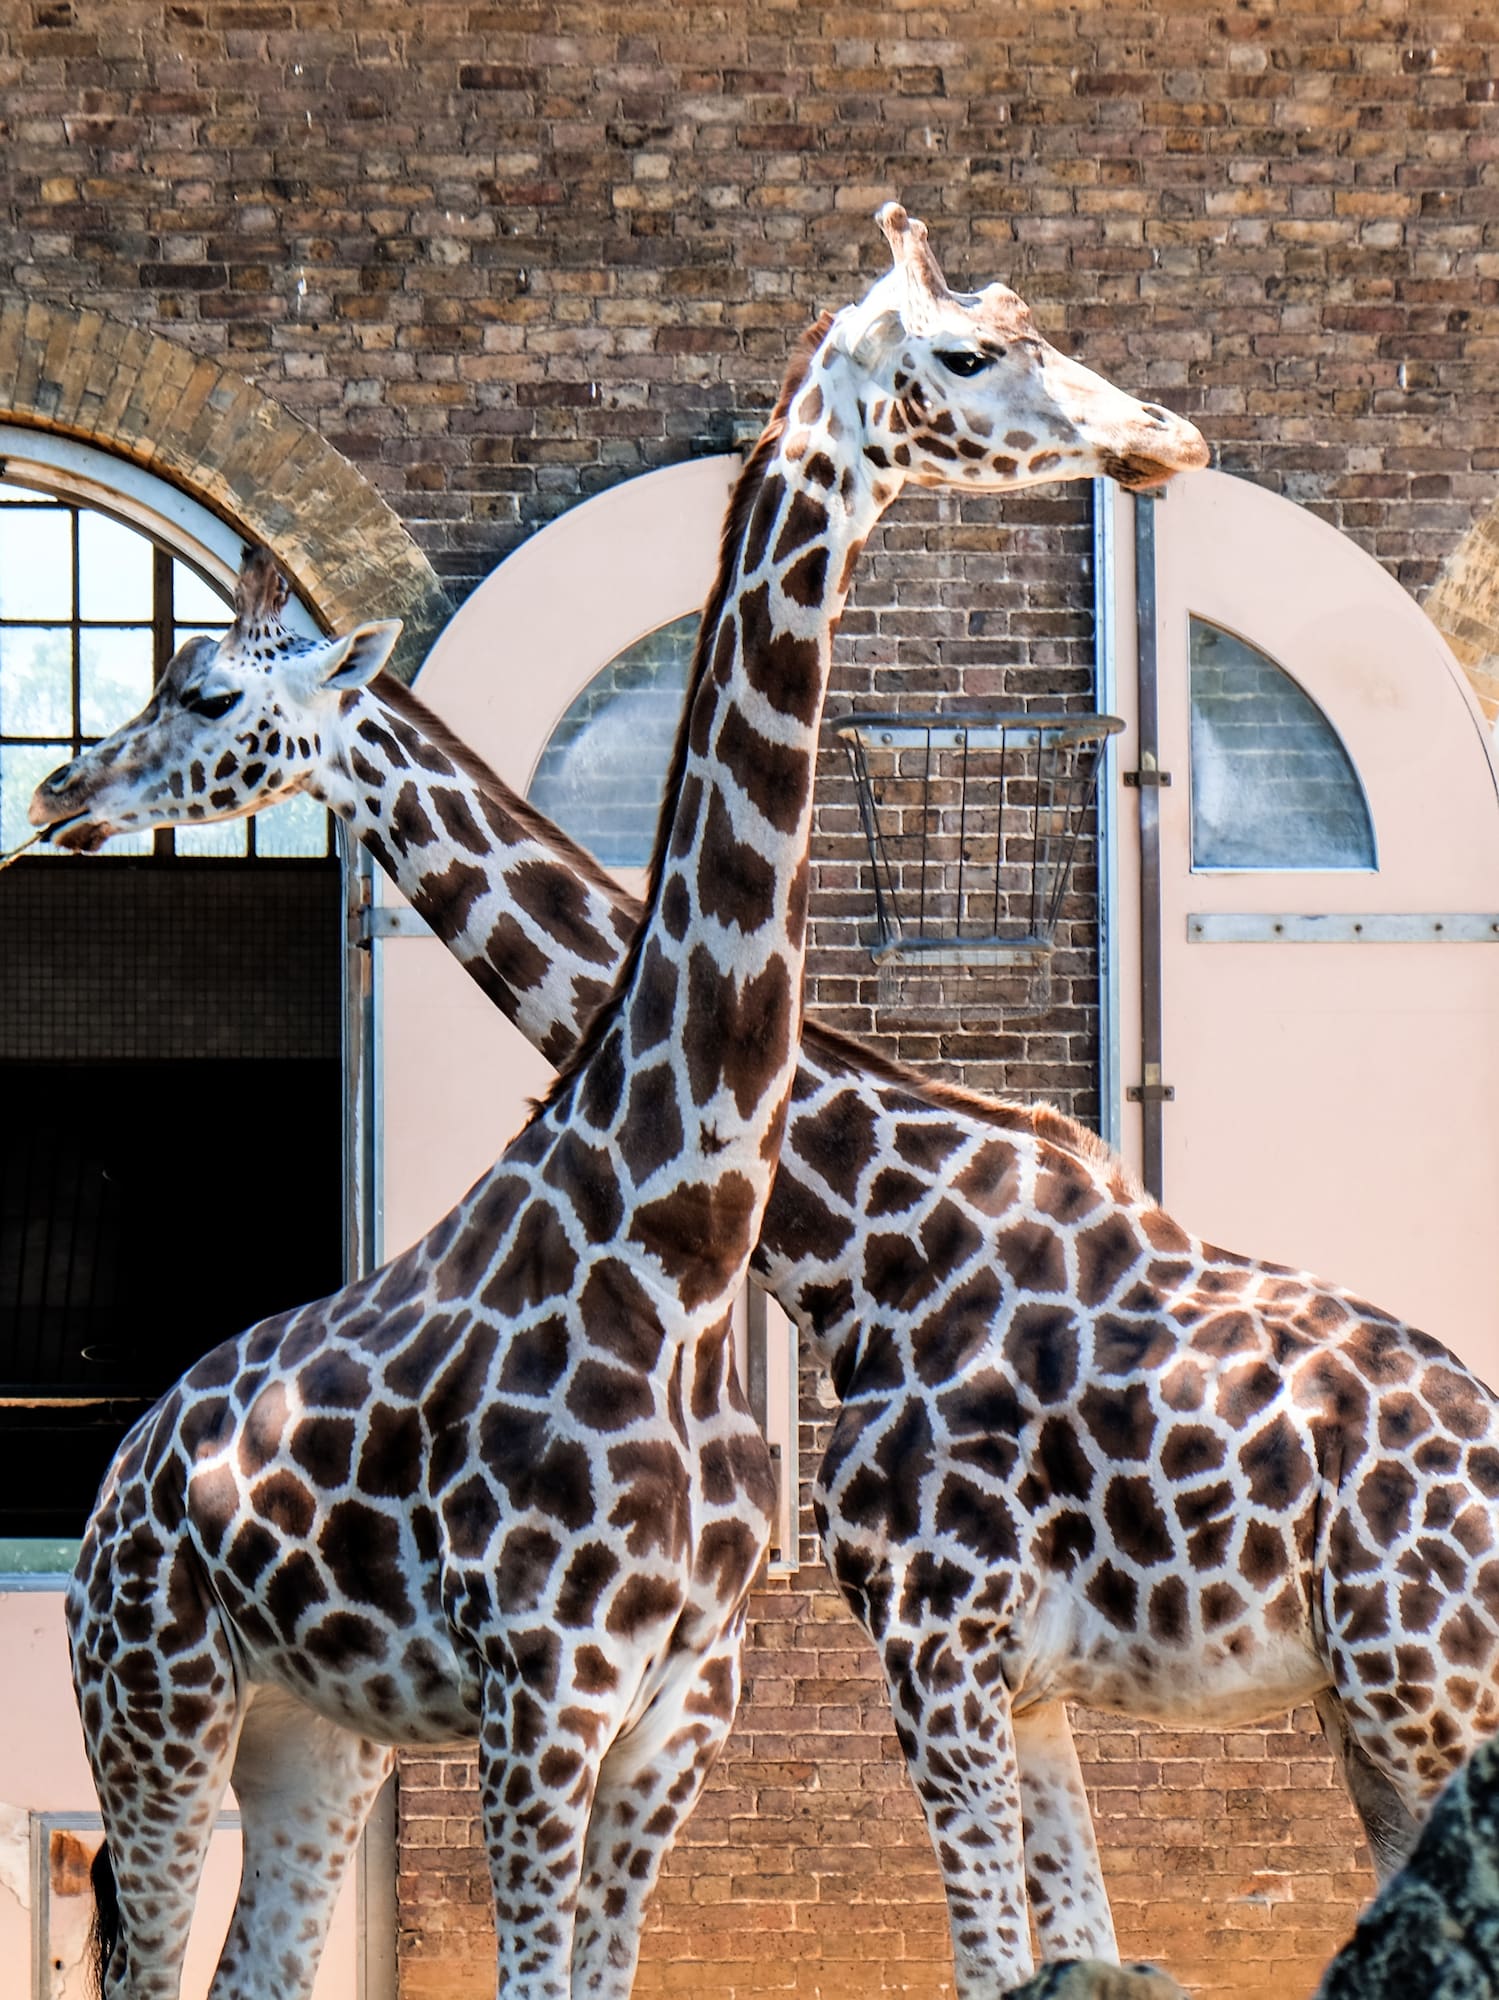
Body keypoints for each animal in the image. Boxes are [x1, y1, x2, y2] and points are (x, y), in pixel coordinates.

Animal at [41, 206, 1212, 2000]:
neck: (691, 1231)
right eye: (965, 351)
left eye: (210, 695)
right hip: (159, 1702)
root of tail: (121, 1470)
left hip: (316, 1733)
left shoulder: (691, 1697)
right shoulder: (559, 1687)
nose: (59, 788)